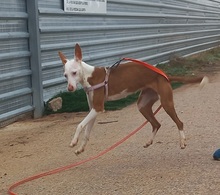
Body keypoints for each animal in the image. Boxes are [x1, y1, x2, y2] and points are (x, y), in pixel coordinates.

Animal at [58, 43, 208, 155]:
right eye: (65, 75)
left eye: (74, 73)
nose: (70, 88)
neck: (89, 76)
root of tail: (165, 76)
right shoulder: (93, 110)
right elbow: (86, 131)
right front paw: (80, 147)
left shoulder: (98, 108)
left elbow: (80, 125)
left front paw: (73, 141)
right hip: (143, 104)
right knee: (156, 124)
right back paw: (149, 141)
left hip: (166, 103)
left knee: (179, 122)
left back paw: (182, 141)